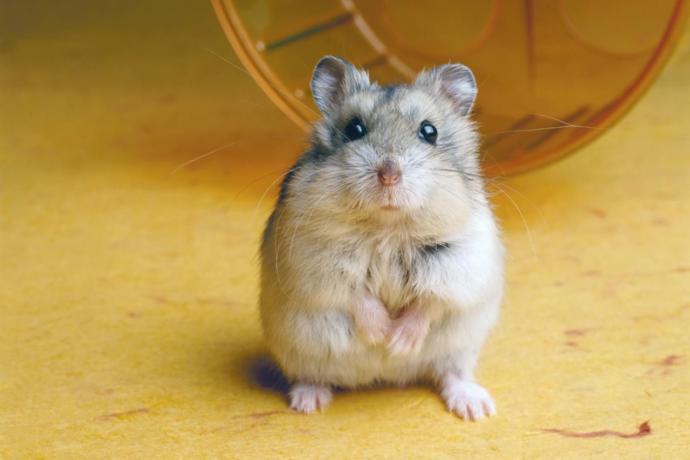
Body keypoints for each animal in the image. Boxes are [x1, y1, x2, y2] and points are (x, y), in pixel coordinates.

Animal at [259, 56, 504, 421]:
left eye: (429, 132)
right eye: (354, 129)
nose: (389, 174)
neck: (388, 228)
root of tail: (380, 376)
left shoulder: (458, 262)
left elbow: (430, 301)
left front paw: (398, 341)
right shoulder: (317, 258)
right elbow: (355, 294)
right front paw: (381, 334)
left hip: (462, 345)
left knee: (451, 374)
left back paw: (476, 409)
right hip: (298, 349)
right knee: (311, 375)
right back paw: (308, 403)